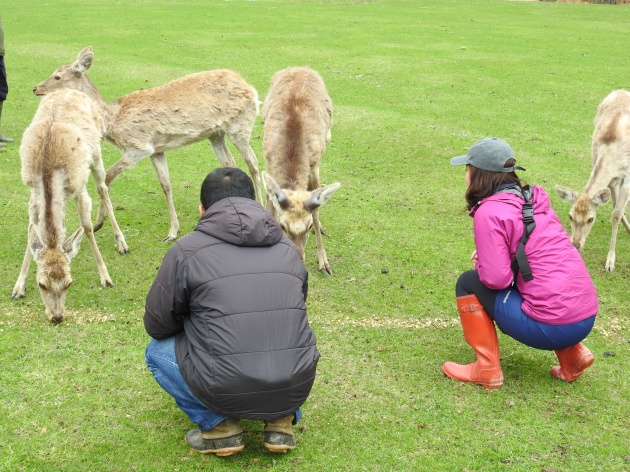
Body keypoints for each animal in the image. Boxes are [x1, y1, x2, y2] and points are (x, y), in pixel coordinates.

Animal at [11, 89, 130, 324]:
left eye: (69, 283)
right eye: (41, 284)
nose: (57, 317)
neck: (48, 170)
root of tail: (71, 89)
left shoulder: (79, 186)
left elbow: (87, 227)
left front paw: (106, 278)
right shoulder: (33, 194)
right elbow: (32, 231)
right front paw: (18, 287)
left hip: (96, 155)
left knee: (103, 189)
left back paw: (122, 243)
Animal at [34, 48, 264, 242]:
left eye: (57, 76)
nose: (35, 88)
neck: (113, 121)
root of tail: (252, 89)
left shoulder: (139, 146)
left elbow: (107, 176)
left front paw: (100, 223)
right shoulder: (157, 150)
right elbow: (165, 185)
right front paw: (172, 232)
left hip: (240, 125)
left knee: (253, 163)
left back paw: (263, 205)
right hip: (215, 134)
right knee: (231, 162)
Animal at [260, 64, 344, 274]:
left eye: (307, 227)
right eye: (282, 226)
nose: (298, 258)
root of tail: (300, 67)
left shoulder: (313, 166)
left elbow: (316, 208)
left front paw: (324, 262)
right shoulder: (268, 163)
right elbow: (269, 204)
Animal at [556, 88, 630, 272]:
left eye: (591, 219)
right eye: (570, 216)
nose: (576, 244)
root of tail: (621, 90)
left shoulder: (627, 176)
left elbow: (616, 213)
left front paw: (610, 262)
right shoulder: (609, 176)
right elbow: (615, 206)